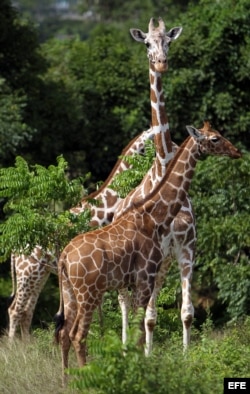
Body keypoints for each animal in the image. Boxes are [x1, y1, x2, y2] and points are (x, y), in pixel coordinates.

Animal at [7, 127, 156, 338]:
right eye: (152, 139)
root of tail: (14, 248)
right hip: (27, 271)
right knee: (15, 309)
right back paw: (14, 346)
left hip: (39, 272)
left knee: (27, 310)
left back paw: (26, 344)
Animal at [55, 123, 242, 378]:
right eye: (215, 139)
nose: (237, 152)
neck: (153, 217)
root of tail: (64, 258)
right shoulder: (145, 278)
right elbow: (138, 332)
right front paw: (137, 373)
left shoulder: (139, 282)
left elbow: (141, 330)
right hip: (89, 293)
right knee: (78, 335)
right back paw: (85, 378)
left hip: (69, 292)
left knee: (64, 334)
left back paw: (66, 380)